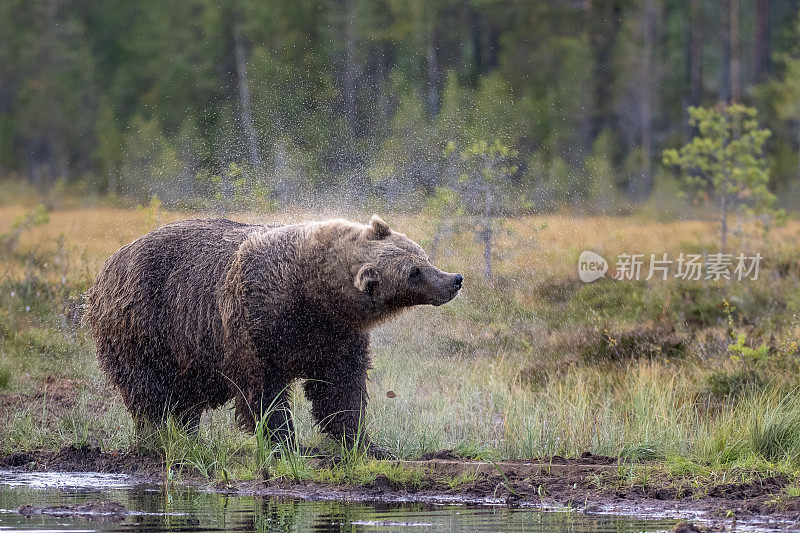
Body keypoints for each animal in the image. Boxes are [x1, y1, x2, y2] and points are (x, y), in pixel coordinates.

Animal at [84, 214, 460, 456]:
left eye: (423, 255)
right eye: (414, 272)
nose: (454, 279)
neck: (313, 294)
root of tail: (107, 265)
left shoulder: (335, 335)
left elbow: (340, 388)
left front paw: (363, 442)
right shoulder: (256, 322)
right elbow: (264, 390)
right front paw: (288, 443)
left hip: (186, 347)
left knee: (184, 395)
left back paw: (190, 436)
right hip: (145, 325)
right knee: (149, 390)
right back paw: (158, 437)